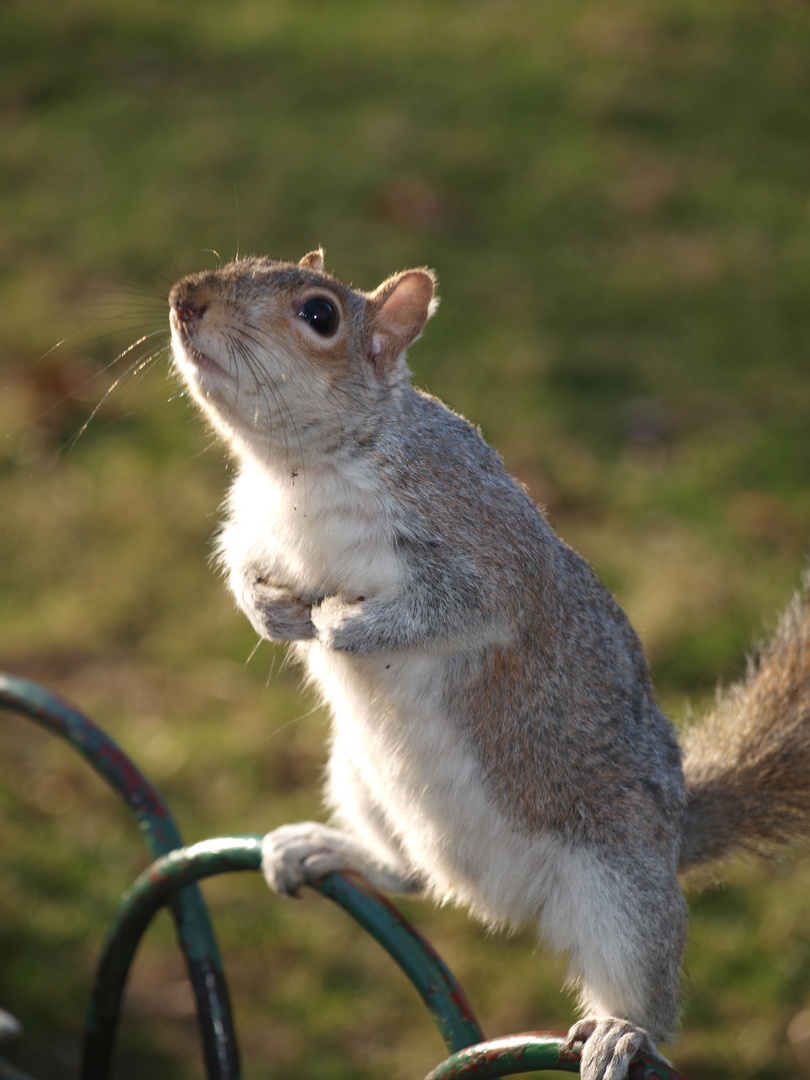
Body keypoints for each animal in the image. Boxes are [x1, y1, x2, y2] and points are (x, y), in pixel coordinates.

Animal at [168, 248, 810, 1080]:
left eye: (320, 315)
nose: (186, 301)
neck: (300, 471)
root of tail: (494, 898)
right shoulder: (253, 521)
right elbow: (240, 564)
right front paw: (267, 610)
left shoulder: (484, 542)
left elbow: (462, 608)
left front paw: (344, 626)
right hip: (361, 781)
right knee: (408, 873)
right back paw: (328, 847)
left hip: (619, 884)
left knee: (642, 979)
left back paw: (623, 1031)